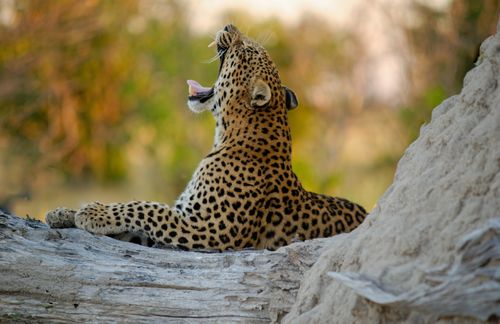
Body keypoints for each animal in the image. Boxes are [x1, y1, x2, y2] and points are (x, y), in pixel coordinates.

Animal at [46, 24, 368, 251]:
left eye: (247, 50)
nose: (228, 25)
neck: (227, 134)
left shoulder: (208, 229)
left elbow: (147, 207)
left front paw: (92, 211)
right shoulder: (182, 217)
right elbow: (138, 219)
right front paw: (63, 212)